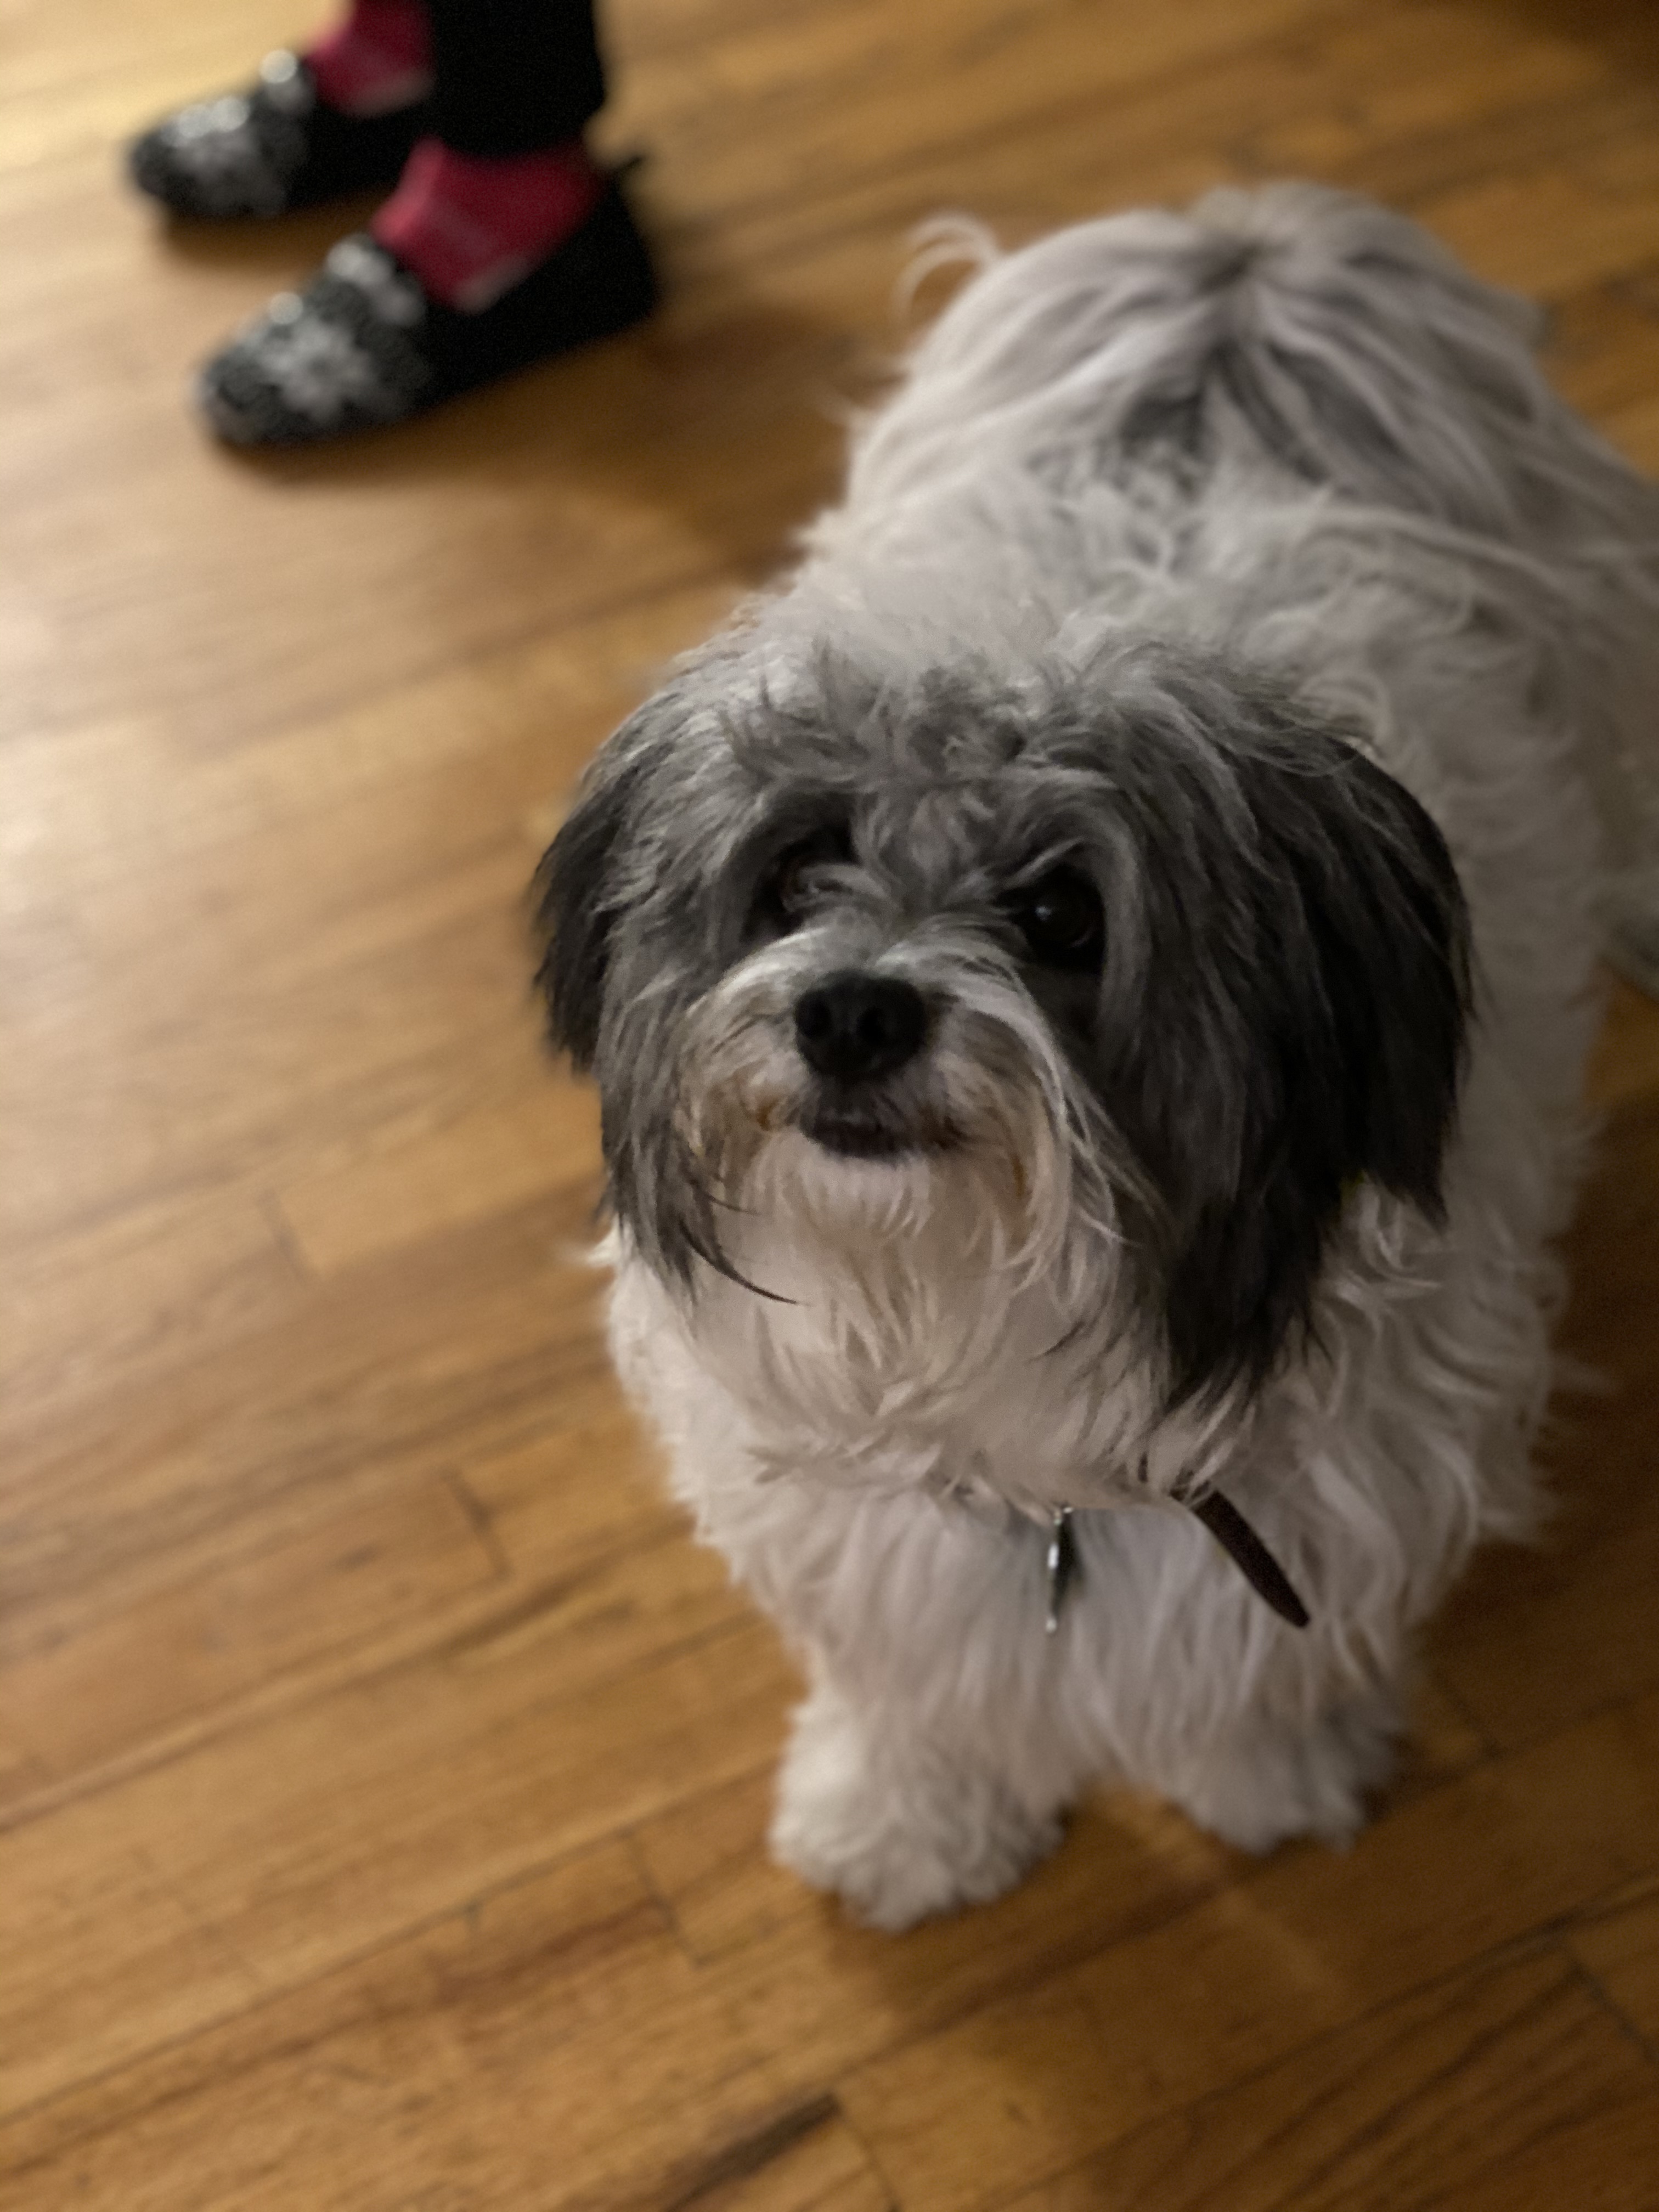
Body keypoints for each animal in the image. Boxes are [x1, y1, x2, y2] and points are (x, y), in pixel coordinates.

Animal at [534, 184, 1659, 1928]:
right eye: (799, 873)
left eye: (1064, 913)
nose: (852, 1008)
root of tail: (1237, 266)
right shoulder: (868, 1538)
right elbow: (909, 1686)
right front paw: (904, 1819)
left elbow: (1263, 1672)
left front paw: (1270, 1777)